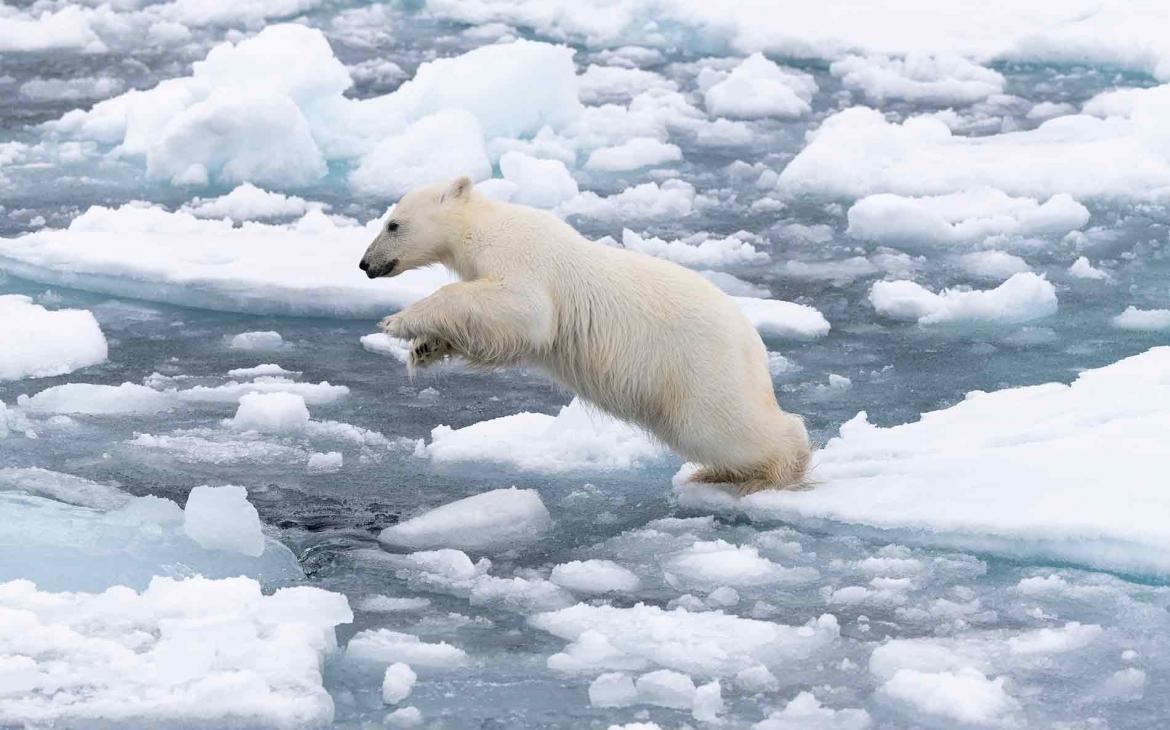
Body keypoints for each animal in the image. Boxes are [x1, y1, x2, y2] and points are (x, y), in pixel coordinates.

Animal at [360, 175, 809, 491]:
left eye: (393, 224)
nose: (365, 264)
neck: (482, 226)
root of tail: (753, 344)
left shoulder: (522, 256)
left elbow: (523, 309)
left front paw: (397, 321)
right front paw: (424, 348)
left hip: (698, 367)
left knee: (722, 425)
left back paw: (774, 470)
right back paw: (717, 473)